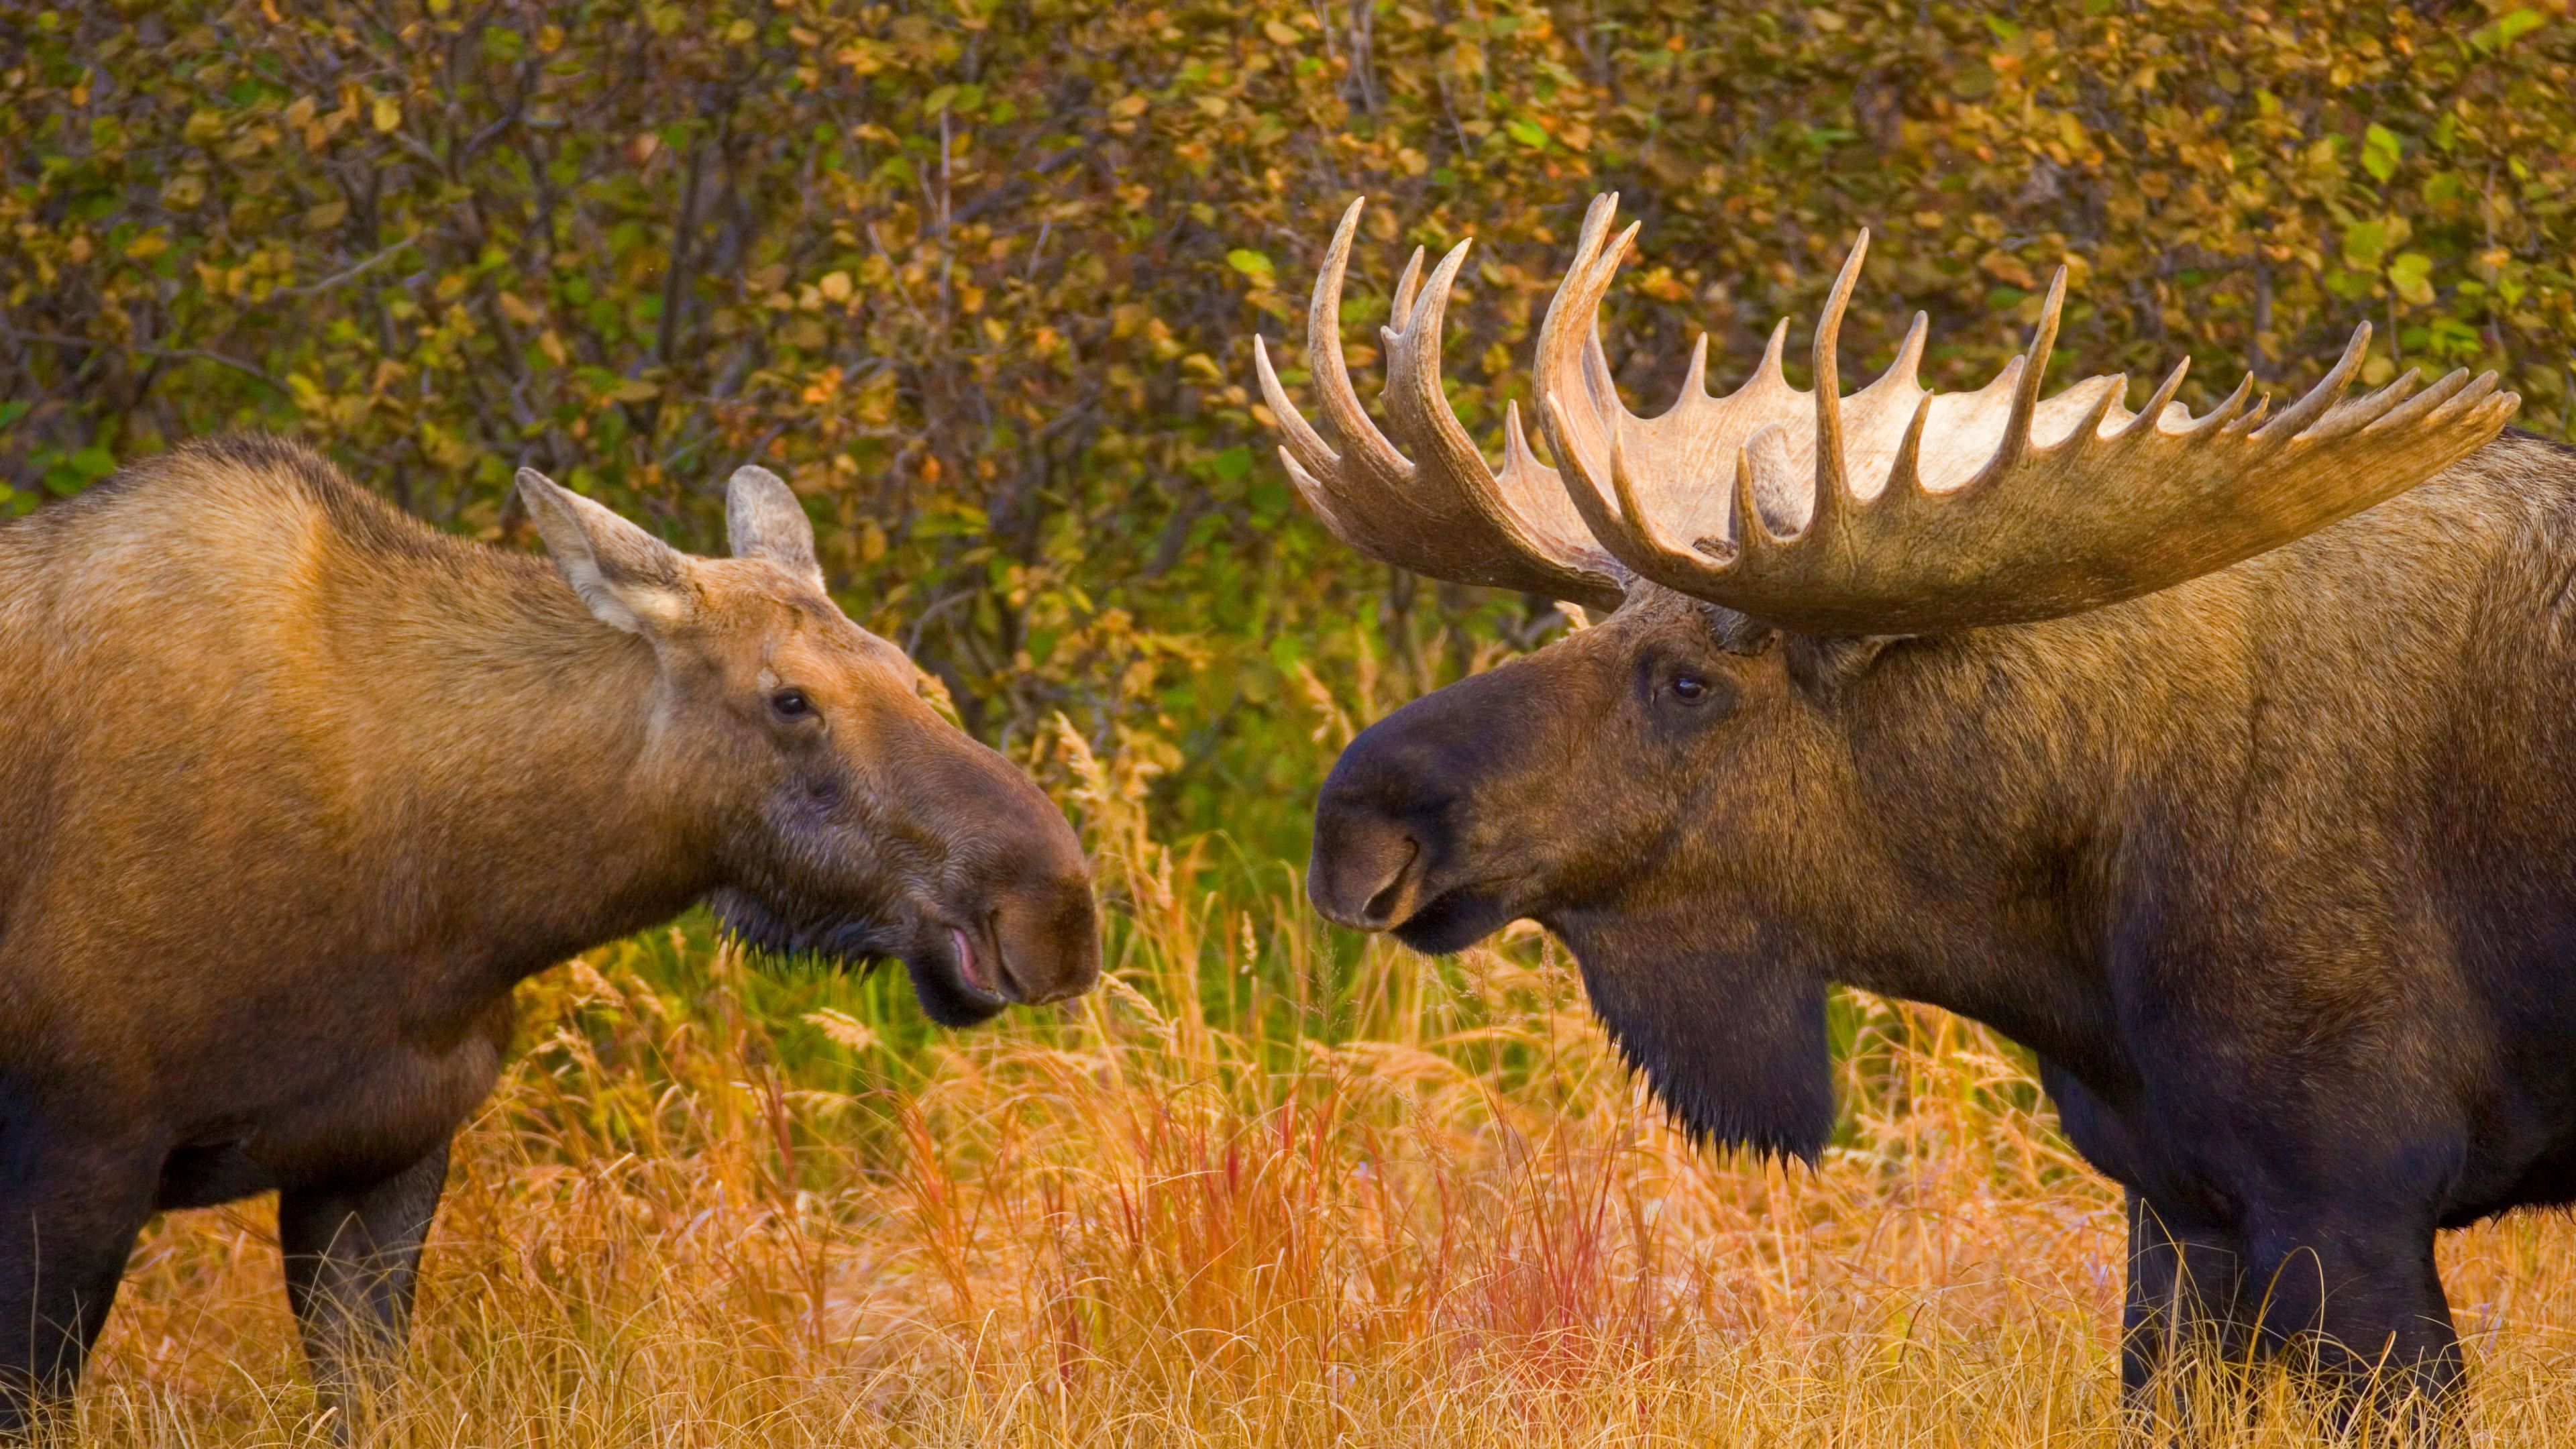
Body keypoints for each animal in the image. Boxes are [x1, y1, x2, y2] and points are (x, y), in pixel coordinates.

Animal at [0, 433, 1097, 1423]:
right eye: (791, 699)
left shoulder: (379, 1155)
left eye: (910, 673)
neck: (452, 905)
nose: (1054, 912)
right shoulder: (78, 1158)